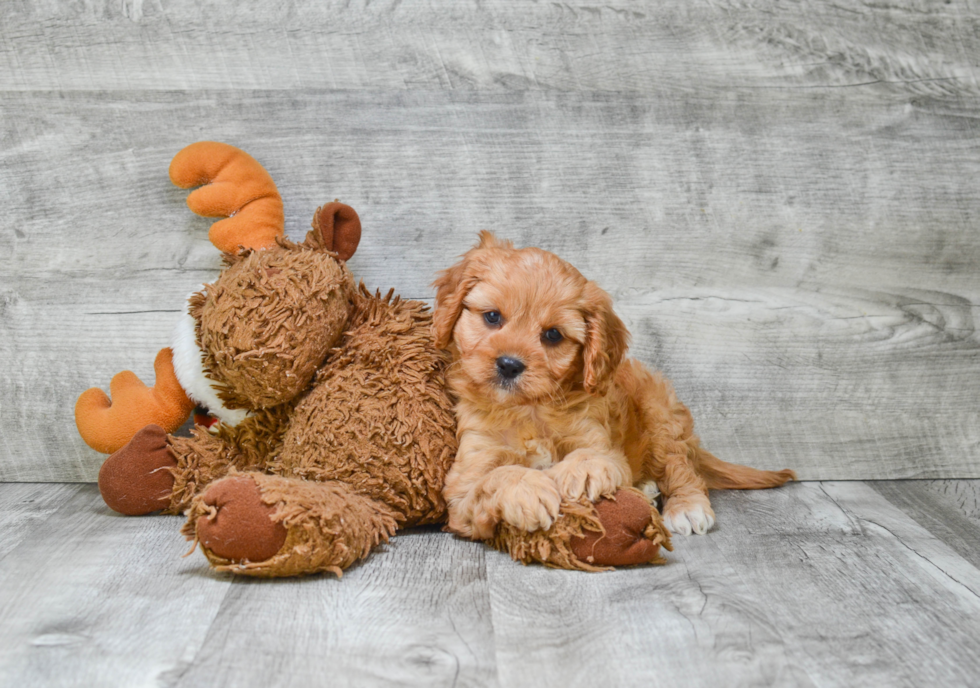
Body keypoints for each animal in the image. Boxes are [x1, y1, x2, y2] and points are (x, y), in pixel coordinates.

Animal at [436, 234, 796, 540]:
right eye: (492, 317)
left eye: (552, 335)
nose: (509, 365)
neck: (530, 410)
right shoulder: (464, 482)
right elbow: (494, 478)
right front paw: (530, 489)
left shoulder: (599, 441)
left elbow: (595, 457)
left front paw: (579, 473)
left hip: (660, 415)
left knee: (681, 466)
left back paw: (687, 507)